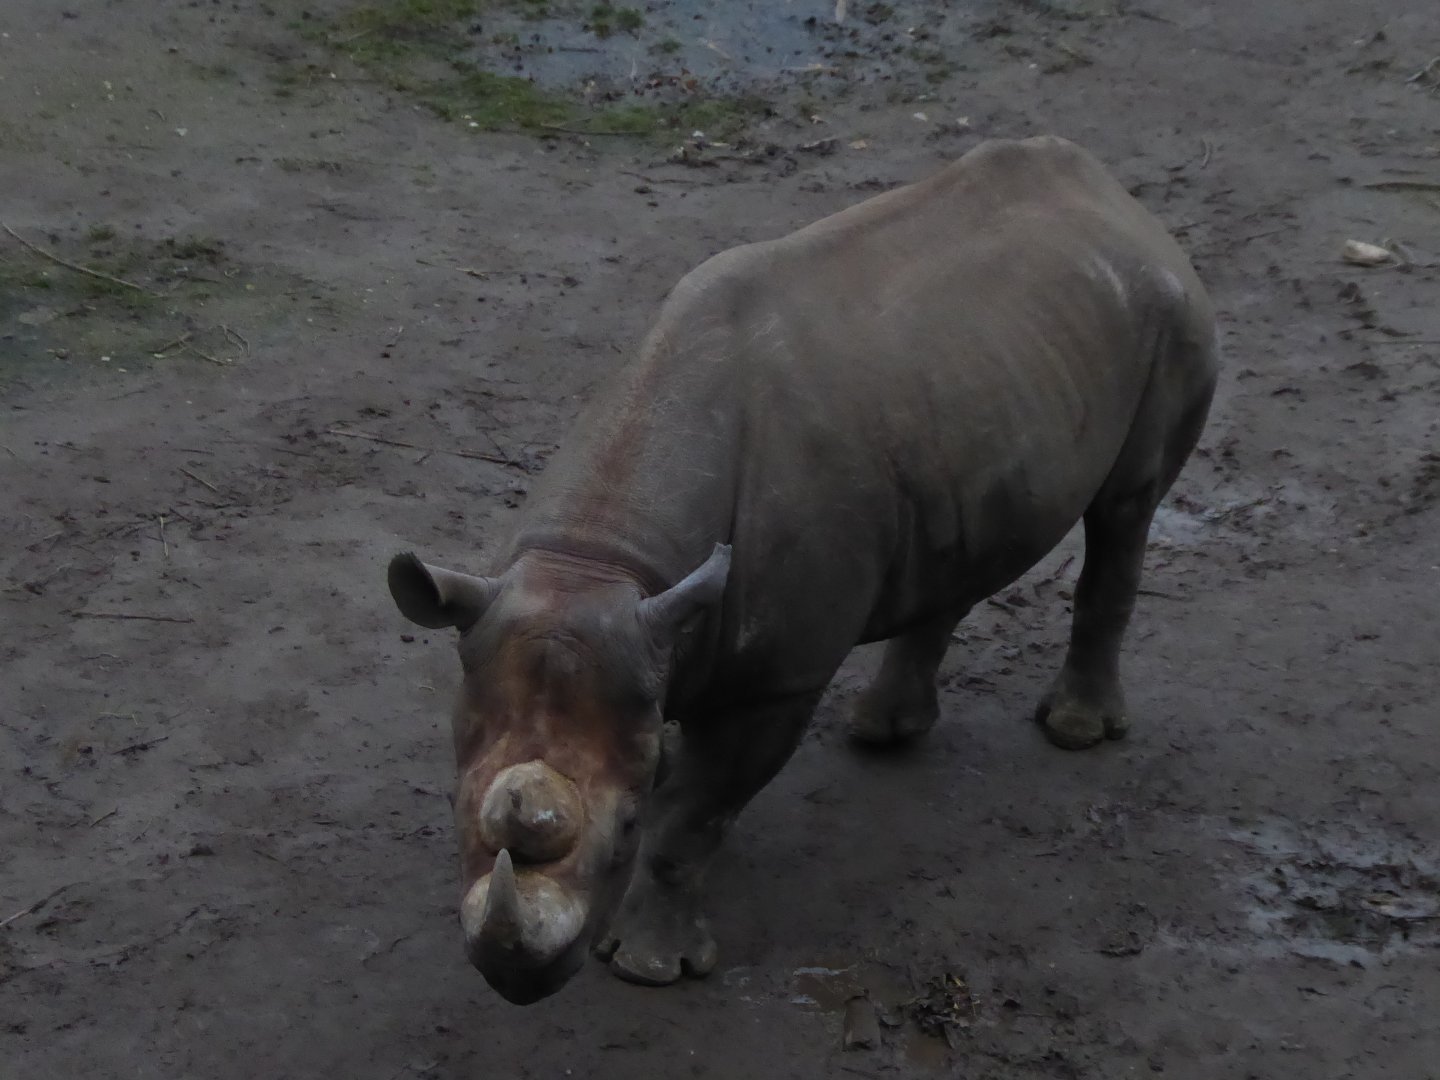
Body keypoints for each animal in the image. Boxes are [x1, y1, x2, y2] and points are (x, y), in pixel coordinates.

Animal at [387, 136, 1218, 1004]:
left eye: (623, 831)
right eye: (452, 799)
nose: (514, 978)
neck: (599, 558)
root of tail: (1118, 197)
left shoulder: (780, 675)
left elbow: (695, 817)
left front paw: (650, 964)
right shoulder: (658, 623)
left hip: (1169, 319)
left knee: (1125, 507)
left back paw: (1074, 732)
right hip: (992, 370)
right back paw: (882, 733)